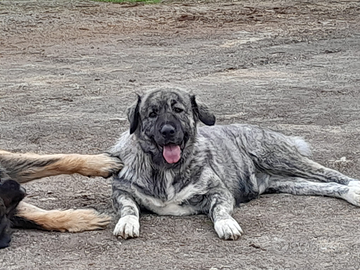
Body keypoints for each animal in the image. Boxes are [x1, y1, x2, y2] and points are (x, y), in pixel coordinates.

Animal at [111, 87, 360, 239]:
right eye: (152, 114)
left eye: (178, 110)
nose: (167, 131)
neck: (166, 168)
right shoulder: (121, 193)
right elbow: (129, 207)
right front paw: (127, 223)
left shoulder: (219, 191)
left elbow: (219, 210)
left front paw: (226, 224)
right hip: (290, 183)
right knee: (326, 186)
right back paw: (350, 193)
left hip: (279, 158)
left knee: (328, 172)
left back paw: (355, 187)